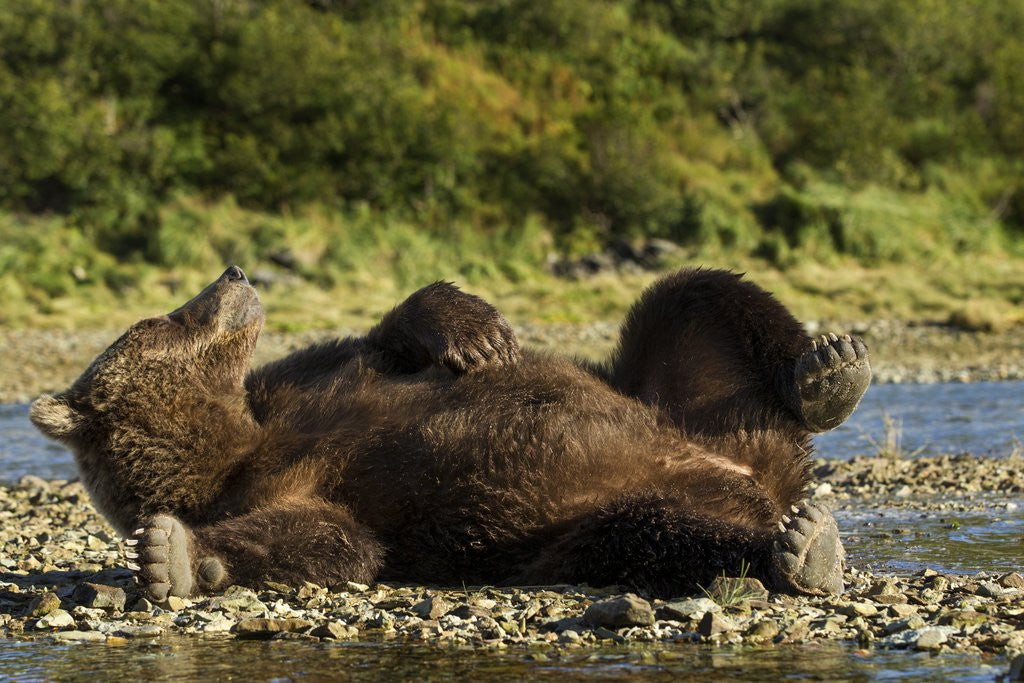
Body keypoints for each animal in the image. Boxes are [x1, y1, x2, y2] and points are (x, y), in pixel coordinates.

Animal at [30, 266, 871, 601]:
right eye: (160, 318)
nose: (234, 271)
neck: (234, 442)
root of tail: (760, 472)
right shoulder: (284, 488)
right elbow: (333, 541)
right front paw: (170, 554)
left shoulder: (320, 379)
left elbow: (395, 332)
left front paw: (482, 334)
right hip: (595, 520)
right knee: (667, 535)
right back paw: (802, 547)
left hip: (675, 399)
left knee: (693, 298)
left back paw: (828, 375)